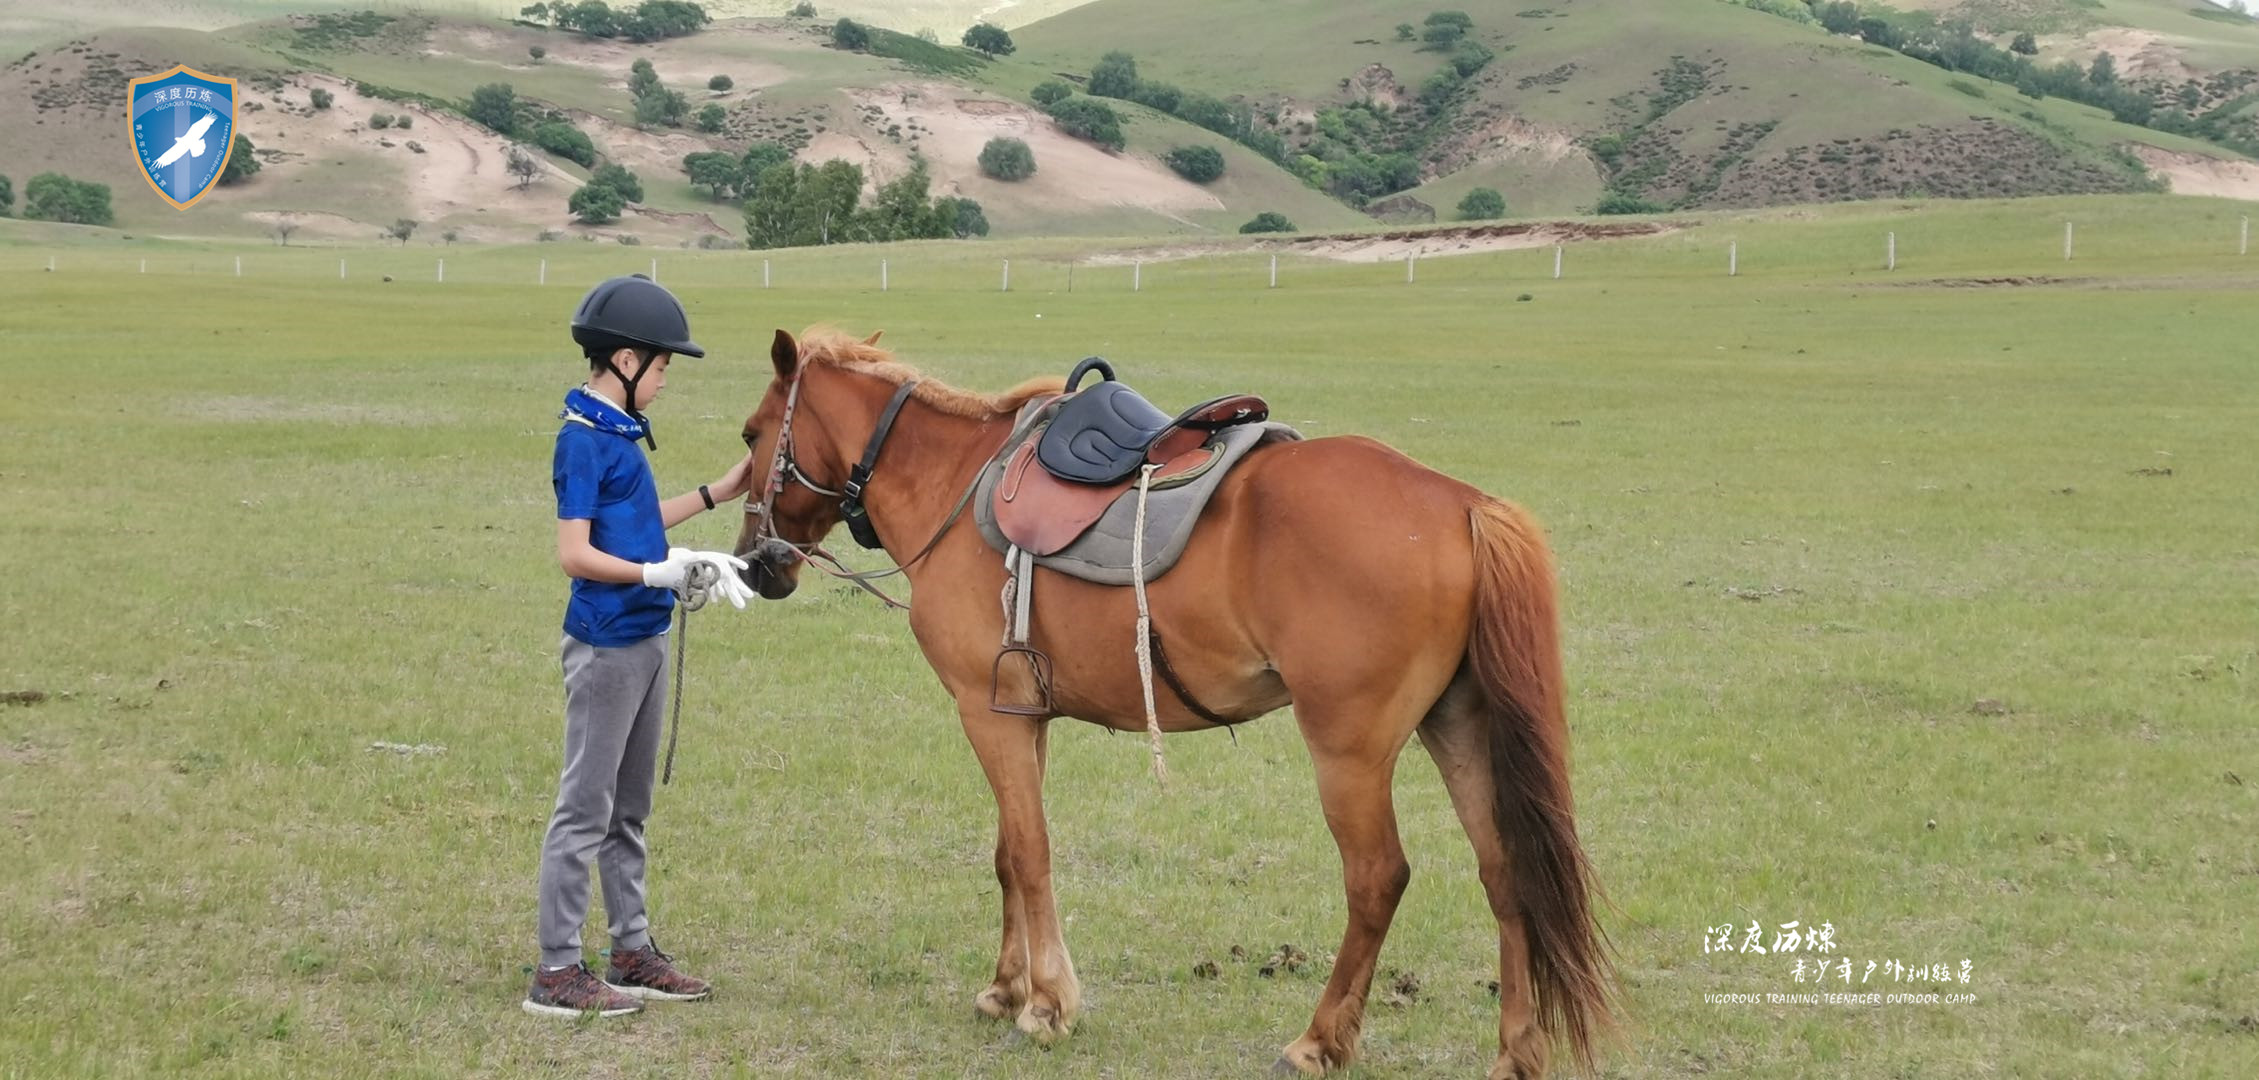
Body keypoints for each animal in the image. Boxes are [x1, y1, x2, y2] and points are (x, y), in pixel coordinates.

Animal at [731, 332, 1617, 1080]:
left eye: (749, 435)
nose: (757, 564)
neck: (956, 482)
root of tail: (1461, 504)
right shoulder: (1018, 716)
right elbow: (1009, 853)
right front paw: (1007, 989)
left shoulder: (984, 716)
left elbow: (1030, 854)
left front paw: (1046, 1005)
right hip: (1458, 725)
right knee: (1505, 871)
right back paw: (1515, 1052)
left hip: (1348, 749)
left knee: (1377, 879)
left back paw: (1318, 1040)